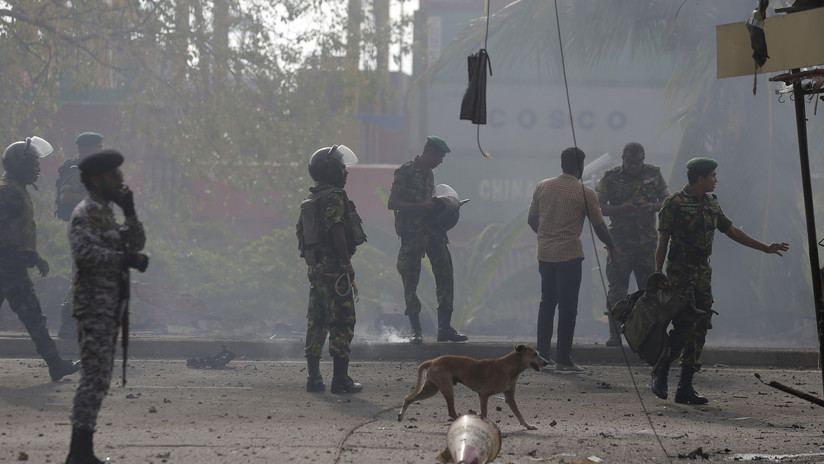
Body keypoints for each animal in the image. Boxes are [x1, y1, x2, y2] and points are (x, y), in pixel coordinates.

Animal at [398, 344, 548, 432]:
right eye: (535, 354)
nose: (547, 362)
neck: (510, 367)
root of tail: (434, 360)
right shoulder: (484, 394)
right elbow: (485, 413)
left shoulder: (510, 397)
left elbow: (519, 413)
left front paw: (528, 425)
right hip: (446, 388)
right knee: (451, 411)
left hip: (431, 389)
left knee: (408, 398)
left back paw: (400, 414)